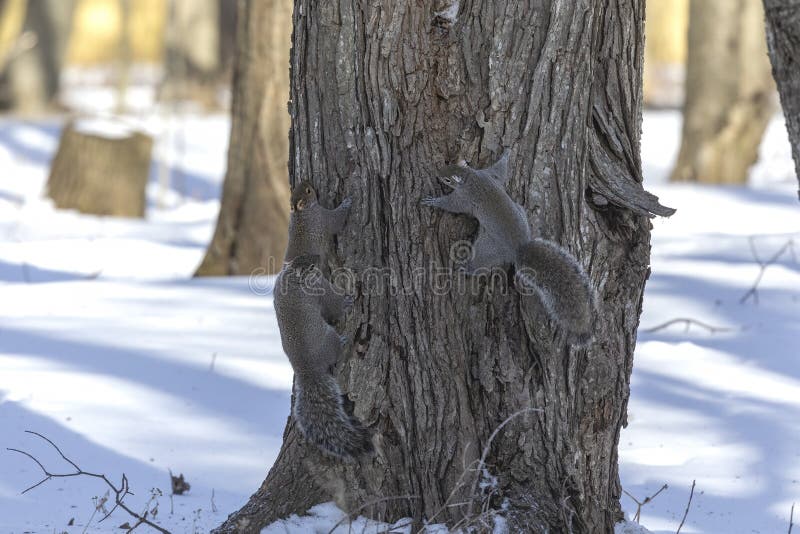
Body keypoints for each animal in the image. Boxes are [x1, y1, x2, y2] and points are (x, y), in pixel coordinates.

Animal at [273, 254, 373, 460]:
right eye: (311, 266)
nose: (319, 258)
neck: (293, 278)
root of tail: (307, 368)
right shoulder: (321, 290)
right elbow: (334, 305)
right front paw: (347, 301)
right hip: (330, 339)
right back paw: (343, 343)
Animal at [421, 150, 597, 344]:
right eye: (447, 165)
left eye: (447, 179)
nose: (437, 173)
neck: (470, 177)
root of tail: (519, 248)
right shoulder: (490, 175)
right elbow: (500, 170)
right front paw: (506, 154)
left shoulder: (464, 198)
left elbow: (451, 205)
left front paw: (434, 201)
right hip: (520, 210)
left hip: (487, 248)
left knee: (480, 264)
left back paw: (466, 268)